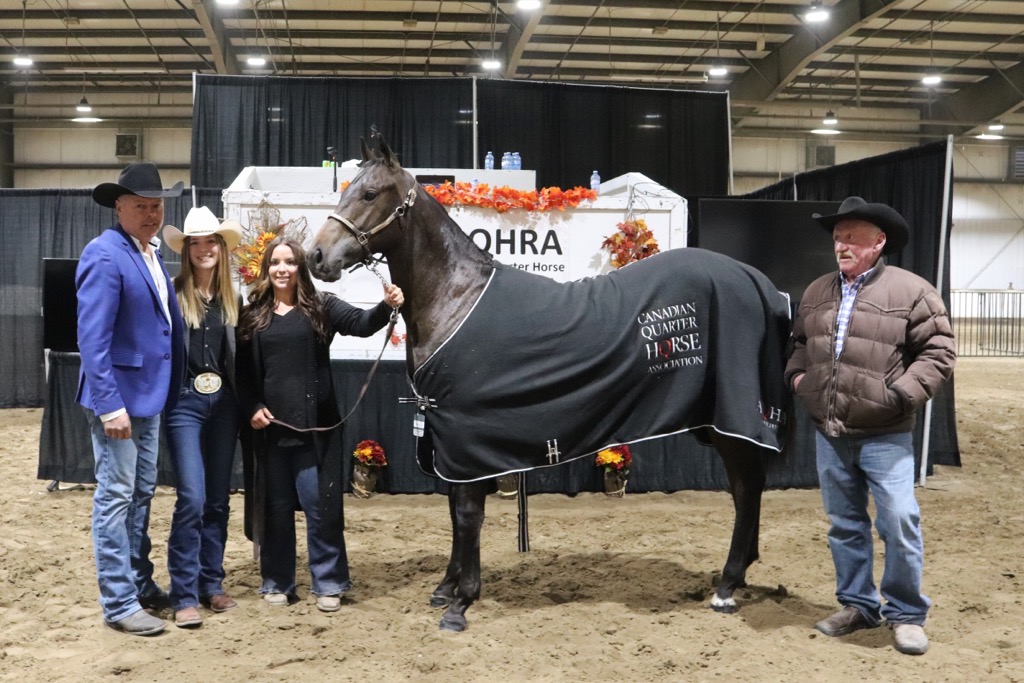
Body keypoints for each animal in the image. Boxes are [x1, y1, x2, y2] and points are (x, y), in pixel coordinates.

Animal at [308, 138, 792, 632]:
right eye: (347, 189)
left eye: (369, 194)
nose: (317, 257)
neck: (455, 296)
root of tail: (758, 283)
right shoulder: (447, 433)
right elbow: (455, 511)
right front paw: (446, 587)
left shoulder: (465, 433)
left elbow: (467, 513)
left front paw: (461, 603)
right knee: (747, 488)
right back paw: (738, 574)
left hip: (731, 423)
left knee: (746, 488)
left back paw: (727, 586)